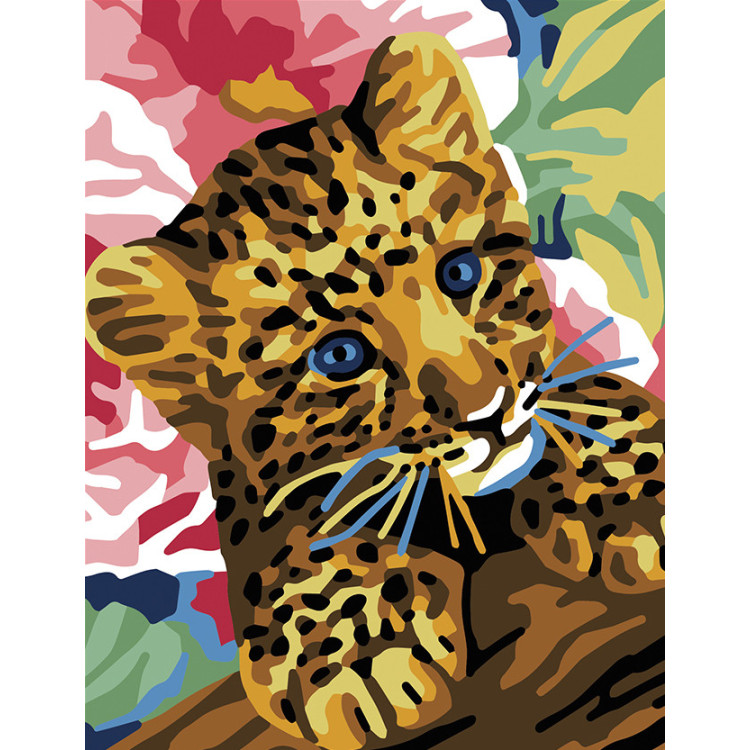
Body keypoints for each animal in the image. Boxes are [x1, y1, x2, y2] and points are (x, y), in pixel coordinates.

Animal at [86, 33, 664, 750]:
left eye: (460, 273)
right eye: (340, 357)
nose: (488, 413)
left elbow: (571, 398)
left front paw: (633, 489)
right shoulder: (255, 496)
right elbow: (307, 527)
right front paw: (359, 657)